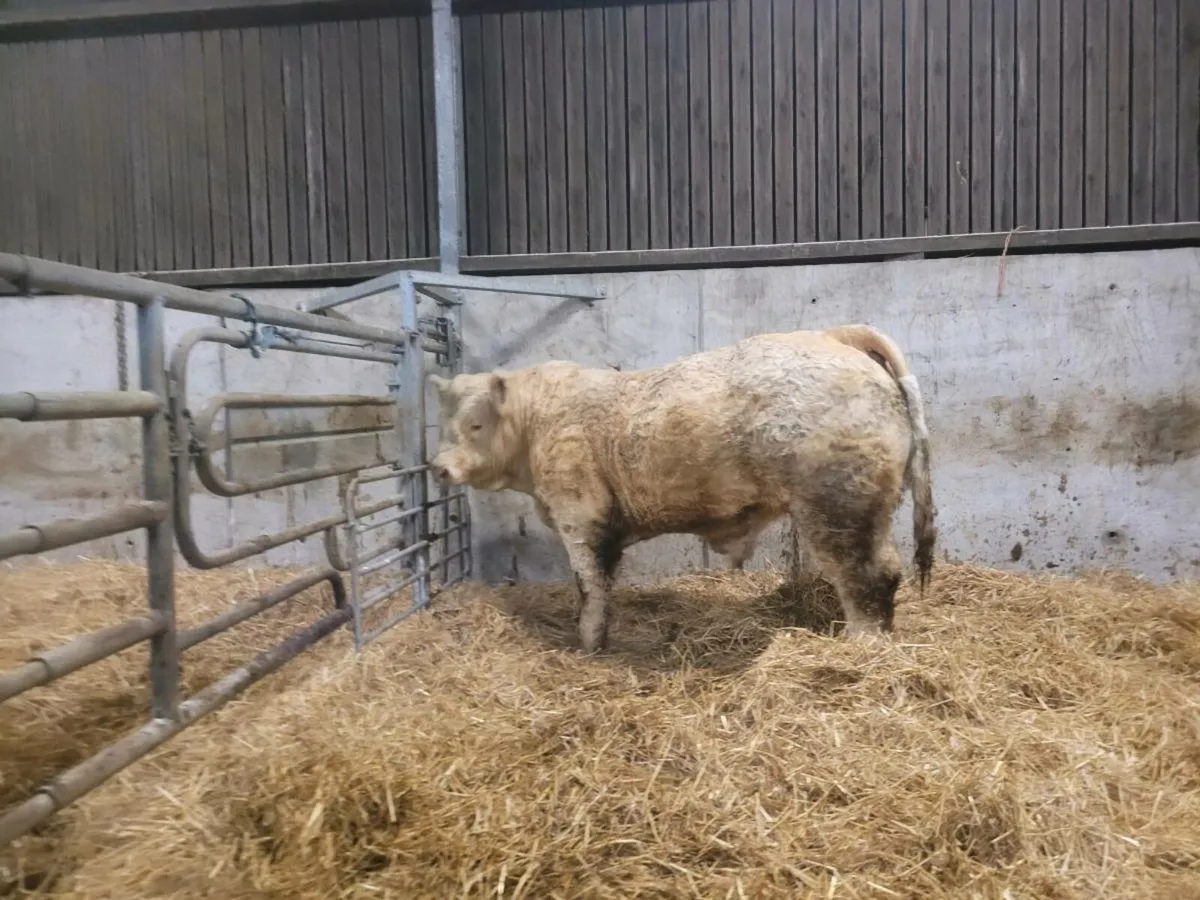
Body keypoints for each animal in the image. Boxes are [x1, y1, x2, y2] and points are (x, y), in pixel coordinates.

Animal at [428, 324, 935, 654]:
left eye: (476, 424)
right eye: (445, 421)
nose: (438, 468)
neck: (538, 422)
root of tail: (835, 336)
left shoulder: (579, 517)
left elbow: (590, 587)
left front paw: (588, 645)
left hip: (839, 508)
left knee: (869, 577)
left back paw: (861, 647)